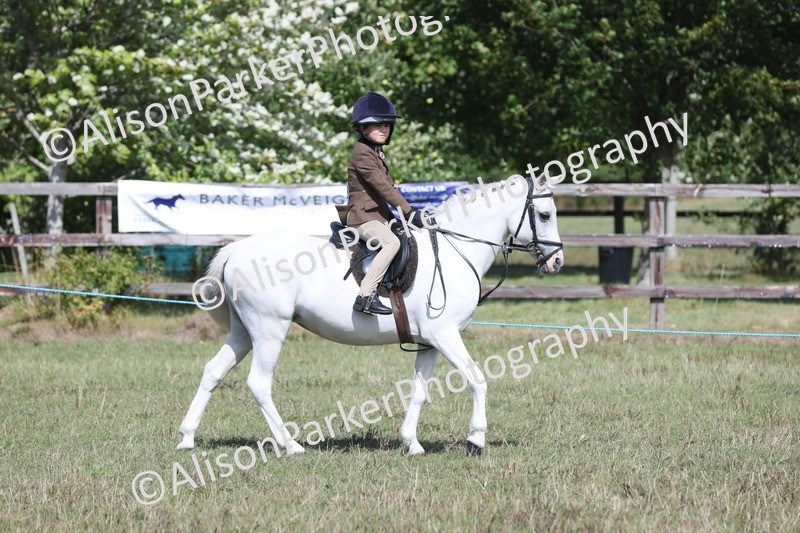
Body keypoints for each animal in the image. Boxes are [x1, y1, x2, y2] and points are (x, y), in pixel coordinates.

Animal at [177, 175, 564, 456]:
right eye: (544, 215)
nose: (557, 261)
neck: (456, 249)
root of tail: (238, 248)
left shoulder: (430, 343)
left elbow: (419, 391)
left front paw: (412, 443)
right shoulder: (445, 335)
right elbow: (477, 379)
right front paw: (475, 441)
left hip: (245, 332)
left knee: (213, 372)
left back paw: (186, 438)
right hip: (269, 330)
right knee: (259, 383)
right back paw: (291, 445)